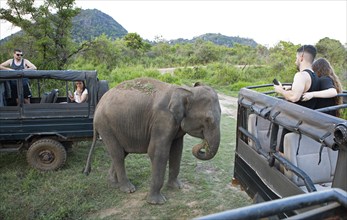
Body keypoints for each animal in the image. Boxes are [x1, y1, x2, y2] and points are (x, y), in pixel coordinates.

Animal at [83, 77, 222, 205]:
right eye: (208, 119)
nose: (203, 144)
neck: (185, 90)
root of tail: (98, 104)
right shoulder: (162, 120)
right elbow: (157, 153)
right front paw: (157, 202)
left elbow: (177, 151)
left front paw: (177, 187)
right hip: (105, 126)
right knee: (118, 154)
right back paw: (128, 189)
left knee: (121, 153)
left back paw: (114, 184)